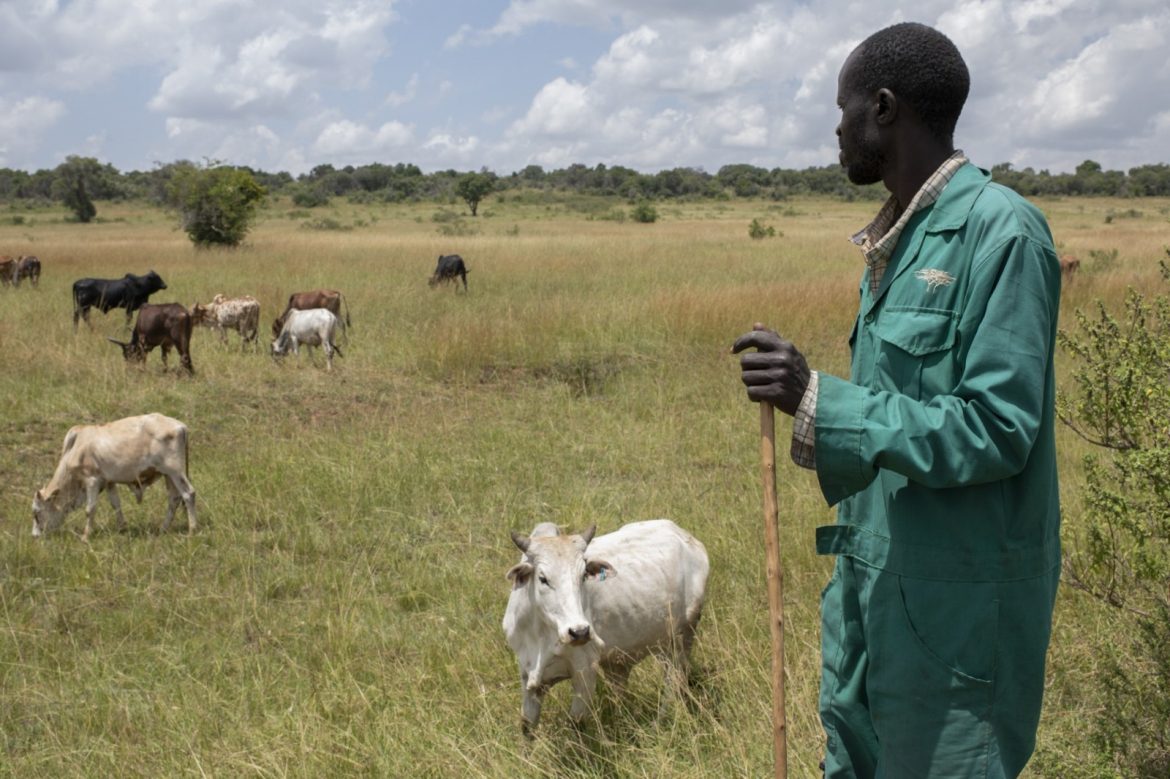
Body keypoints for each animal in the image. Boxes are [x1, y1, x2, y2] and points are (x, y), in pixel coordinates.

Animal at [31, 413, 197, 541]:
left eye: (37, 513)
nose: (35, 536)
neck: (75, 448)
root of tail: (180, 426)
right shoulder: (109, 482)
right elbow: (116, 504)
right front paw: (122, 528)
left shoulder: (92, 480)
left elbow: (90, 509)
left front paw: (85, 537)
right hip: (168, 475)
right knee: (174, 499)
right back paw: (163, 529)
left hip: (175, 471)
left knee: (188, 494)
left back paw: (192, 530)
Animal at [502, 519, 709, 736]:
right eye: (543, 578)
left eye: (583, 575)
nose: (579, 632)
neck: (540, 634)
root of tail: (684, 535)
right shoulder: (527, 674)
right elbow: (527, 725)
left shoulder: (585, 671)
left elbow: (577, 723)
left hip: (682, 637)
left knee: (674, 680)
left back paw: (661, 721)